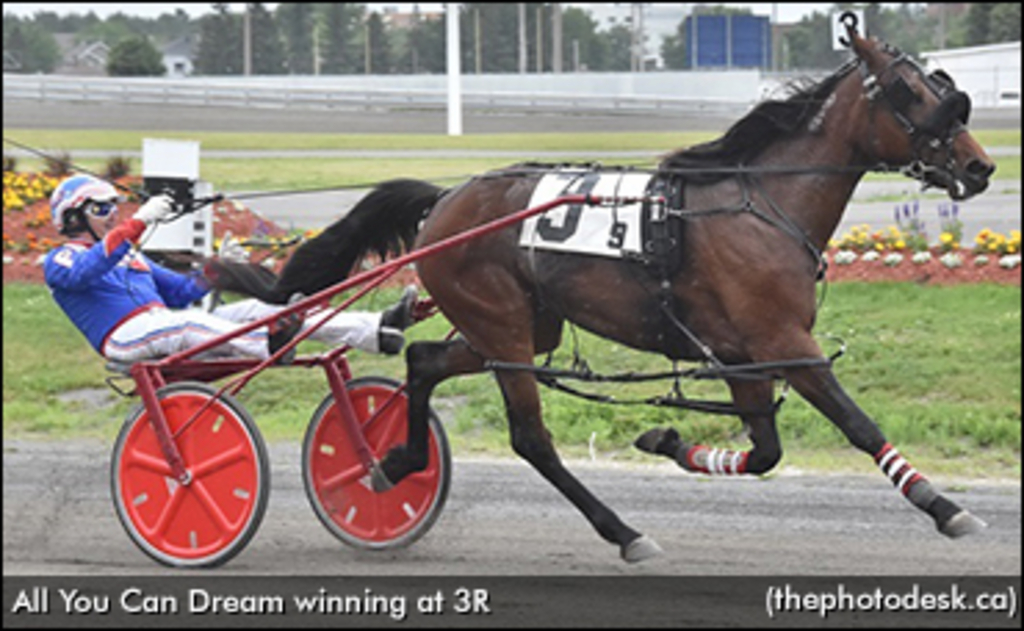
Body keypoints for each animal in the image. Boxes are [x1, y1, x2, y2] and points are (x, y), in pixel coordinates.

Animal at [207, 28, 991, 561]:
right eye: (911, 92)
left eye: (941, 85)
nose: (981, 166)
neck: (759, 204)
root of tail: (447, 199)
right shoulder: (784, 343)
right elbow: (856, 423)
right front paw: (943, 505)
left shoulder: (746, 354)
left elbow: (765, 451)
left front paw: (667, 437)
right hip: (503, 325)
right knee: (530, 437)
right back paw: (623, 530)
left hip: (520, 327)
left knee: (424, 359)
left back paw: (393, 462)